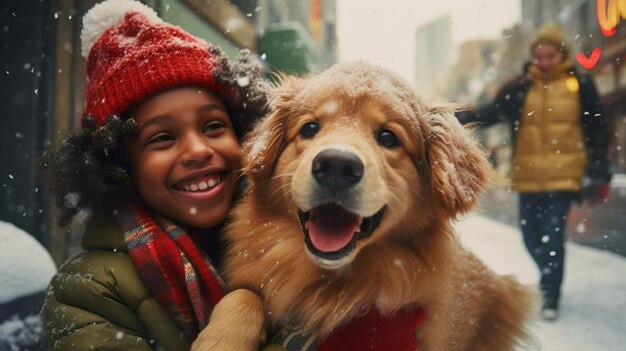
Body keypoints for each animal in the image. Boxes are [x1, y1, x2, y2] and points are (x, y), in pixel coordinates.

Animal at [195, 62, 536, 351]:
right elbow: (244, 295)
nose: (336, 165)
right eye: (309, 129)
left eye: (388, 137)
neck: (329, 283)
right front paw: (219, 340)